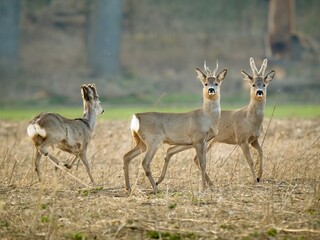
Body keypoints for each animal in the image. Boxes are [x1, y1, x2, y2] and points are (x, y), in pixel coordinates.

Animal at [123, 62, 228, 193]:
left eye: (216, 83)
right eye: (205, 83)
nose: (211, 90)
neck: (207, 117)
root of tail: (136, 117)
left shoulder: (202, 141)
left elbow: (200, 162)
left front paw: (210, 185)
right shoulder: (198, 139)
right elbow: (202, 163)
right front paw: (203, 188)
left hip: (141, 142)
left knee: (126, 156)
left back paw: (129, 188)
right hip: (153, 140)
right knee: (145, 162)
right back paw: (155, 188)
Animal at [158, 57, 276, 185]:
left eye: (264, 84)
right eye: (253, 84)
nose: (259, 92)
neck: (250, 119)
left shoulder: (254, 139)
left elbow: (262, 152)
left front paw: (259, 177)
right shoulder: (241, 139)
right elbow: (250, 161)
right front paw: (255, 180)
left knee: (175, 151)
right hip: (203, 141)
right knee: (193, 158)